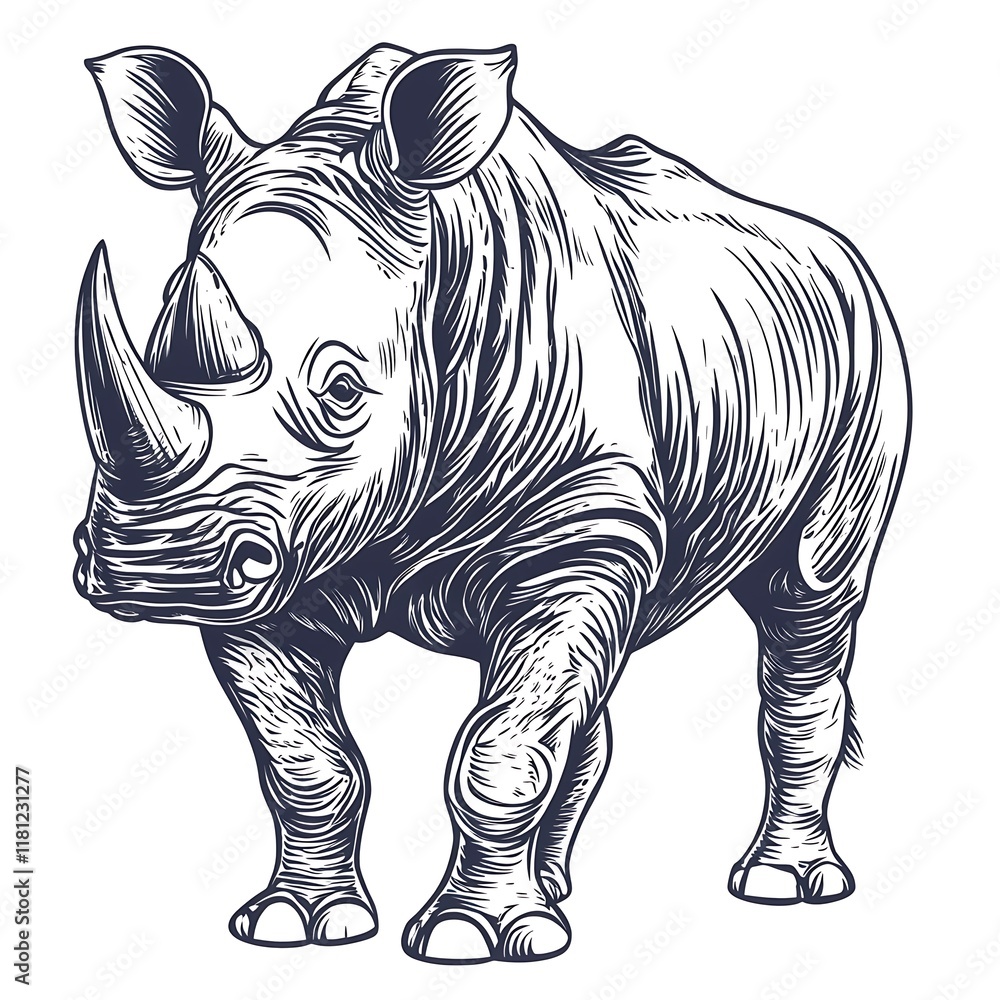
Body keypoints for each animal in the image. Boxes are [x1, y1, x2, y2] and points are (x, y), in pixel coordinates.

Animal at [73, 43, 911, 963]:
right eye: (157, 349)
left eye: (342, 391)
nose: (156, 568)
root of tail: (838, 248)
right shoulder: (274, 560)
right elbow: (306, 762)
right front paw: (299, 924)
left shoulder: (582, 528)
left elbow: (499, 753)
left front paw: (466, 937)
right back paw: (554, 896)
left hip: (870, 346)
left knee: (808, 601)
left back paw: (780, 886)